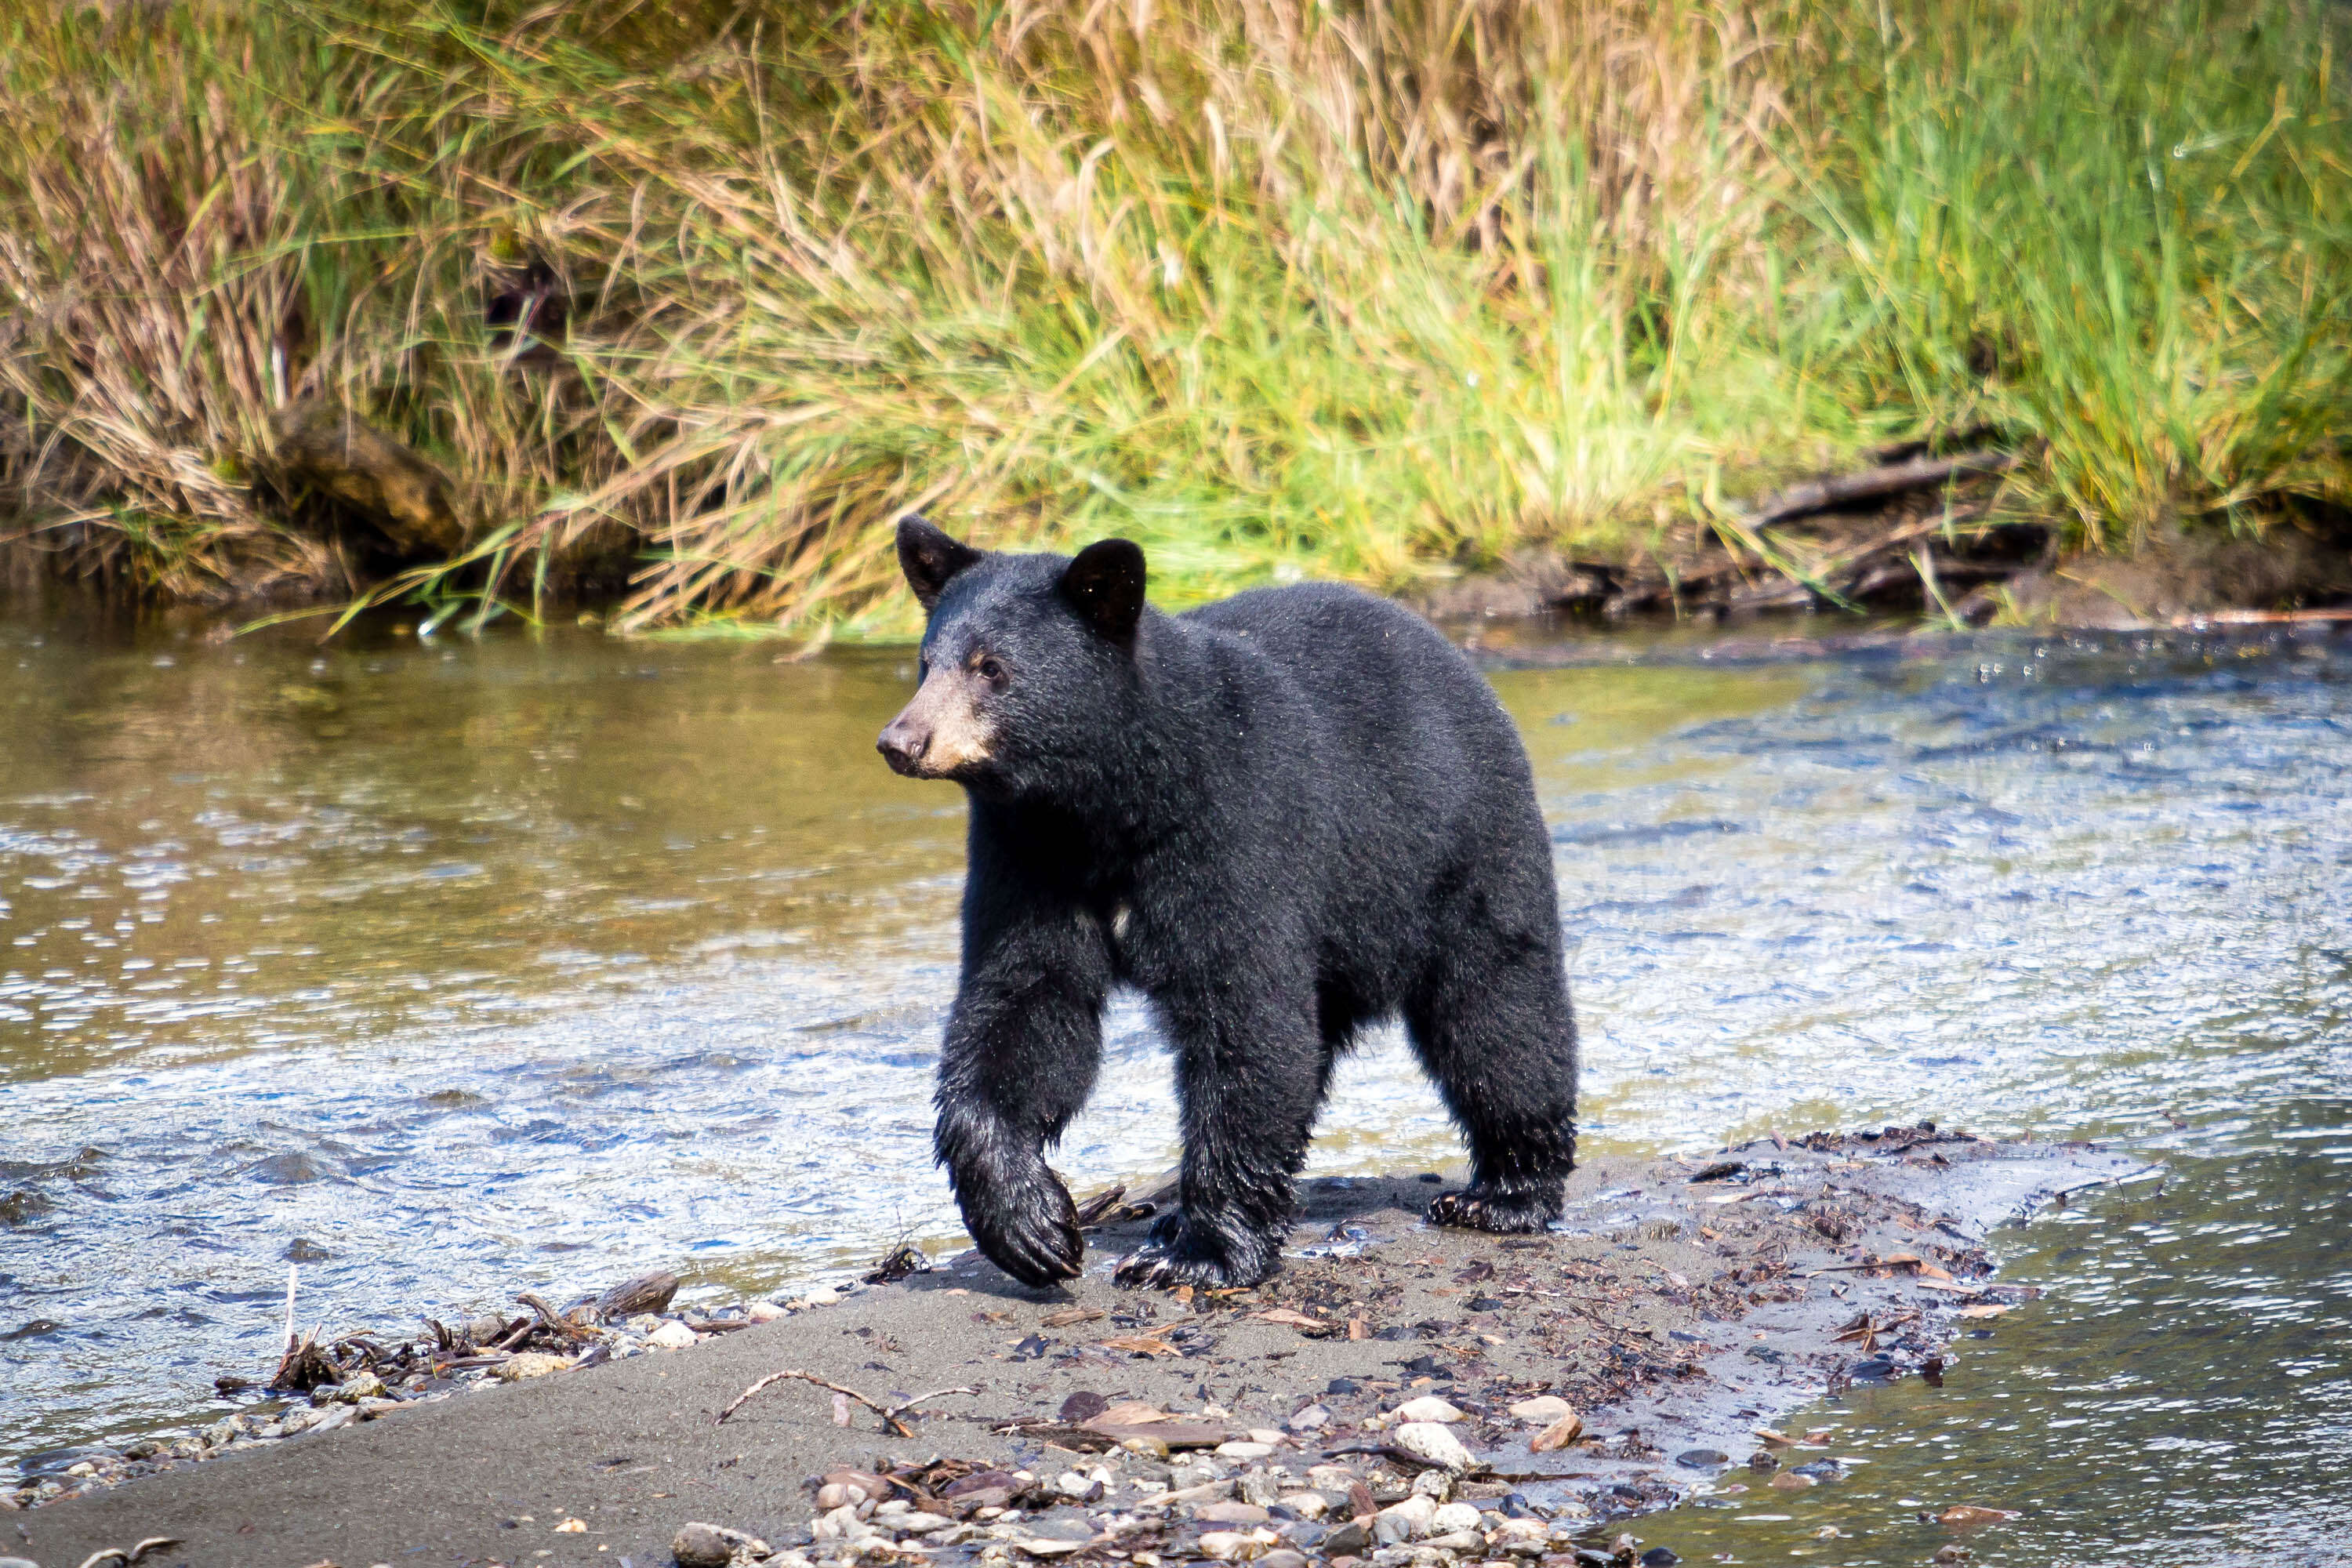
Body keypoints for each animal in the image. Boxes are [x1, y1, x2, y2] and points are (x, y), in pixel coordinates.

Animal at [884, 517, 1581, 1288]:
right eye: (926, 662)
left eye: (993, 668)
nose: (901, 740)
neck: (1108, 808)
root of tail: (1456, 659)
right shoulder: (1029, 857)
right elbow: (1025, 1002)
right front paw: (1030, 1225)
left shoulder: (1234, 829)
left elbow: (1244, 1013)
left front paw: (1201, 1253)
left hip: (1462, 850)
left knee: (1498, 1016)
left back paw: (1506, 1193)